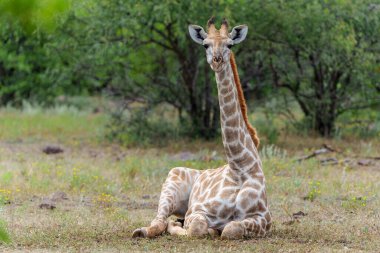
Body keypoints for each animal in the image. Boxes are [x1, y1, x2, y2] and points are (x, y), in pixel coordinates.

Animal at [132, 17, 272, 239]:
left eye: (230, 45)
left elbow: (232, 228)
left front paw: (218, 229)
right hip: (171, 184)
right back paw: (144, 230)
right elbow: (197, 228)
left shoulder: (264, 218)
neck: (239, 166)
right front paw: (192, 228)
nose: (217, 60)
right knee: (159, 221)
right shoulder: (197, 211)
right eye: (206, 44)